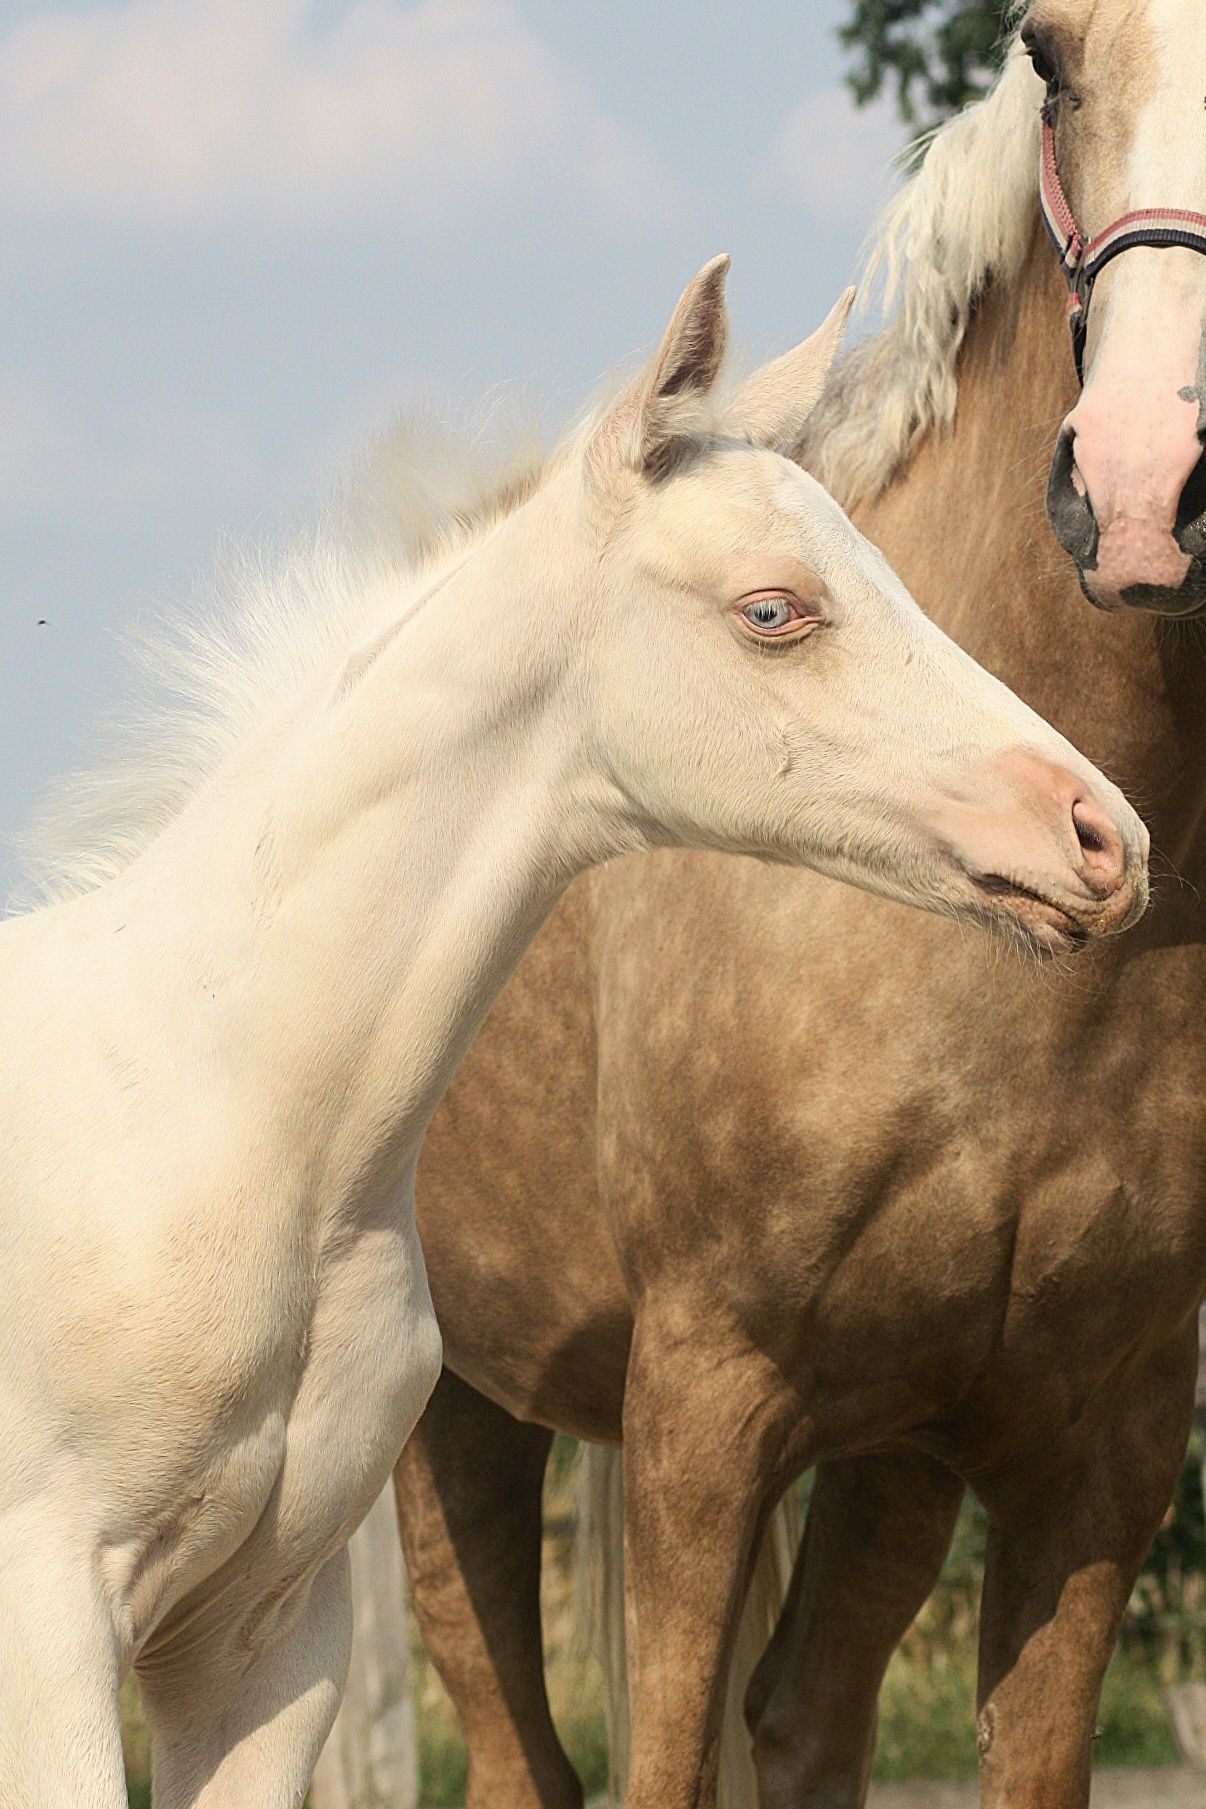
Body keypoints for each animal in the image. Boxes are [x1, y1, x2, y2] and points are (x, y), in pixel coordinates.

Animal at [363, 14, 1206, 1809]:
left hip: (891, 1448)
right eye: (1050, 52)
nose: (1144, 485)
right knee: (517, 1733)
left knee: (806, 1712)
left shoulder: (1089, 1450)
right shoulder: (706, 1401)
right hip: (446, 1407)